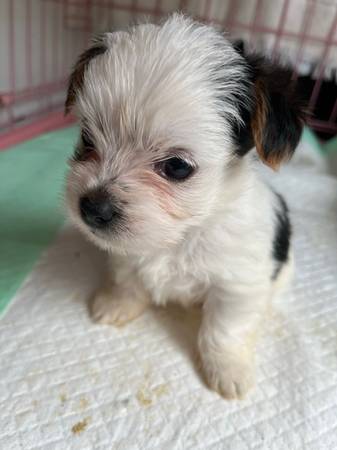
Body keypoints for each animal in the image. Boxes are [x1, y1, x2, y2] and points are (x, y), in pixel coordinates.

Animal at [65, 14, 304, 400]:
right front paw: (117, 304)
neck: (183, 232)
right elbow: (128, 279)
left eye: (177, 167)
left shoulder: (237, 285)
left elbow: (226, 328)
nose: (91, 208)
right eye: (87, 138)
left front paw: (228, 368)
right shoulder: (127, 253)